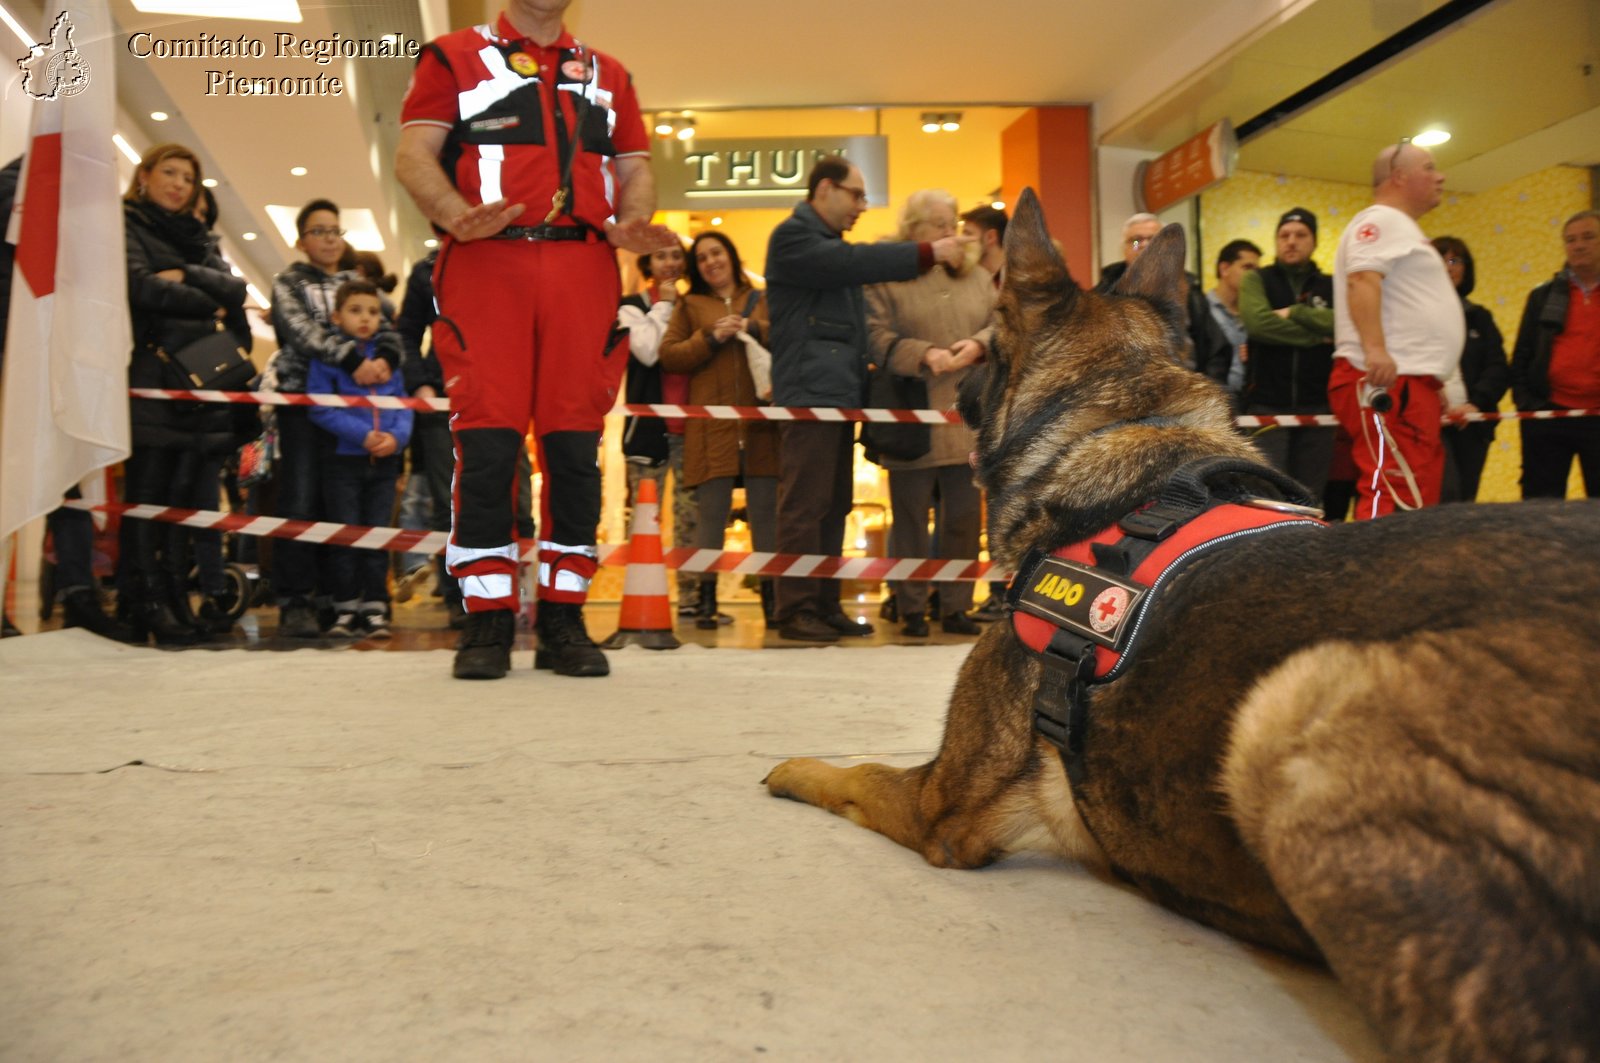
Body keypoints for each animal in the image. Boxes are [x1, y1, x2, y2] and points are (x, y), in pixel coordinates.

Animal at [764, 188, 1600, 1056]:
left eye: (988, 349)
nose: (948, 394)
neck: (1121, 431)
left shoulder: (940, 806)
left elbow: (855, 773)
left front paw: (793, 767)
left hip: (1288, 703)